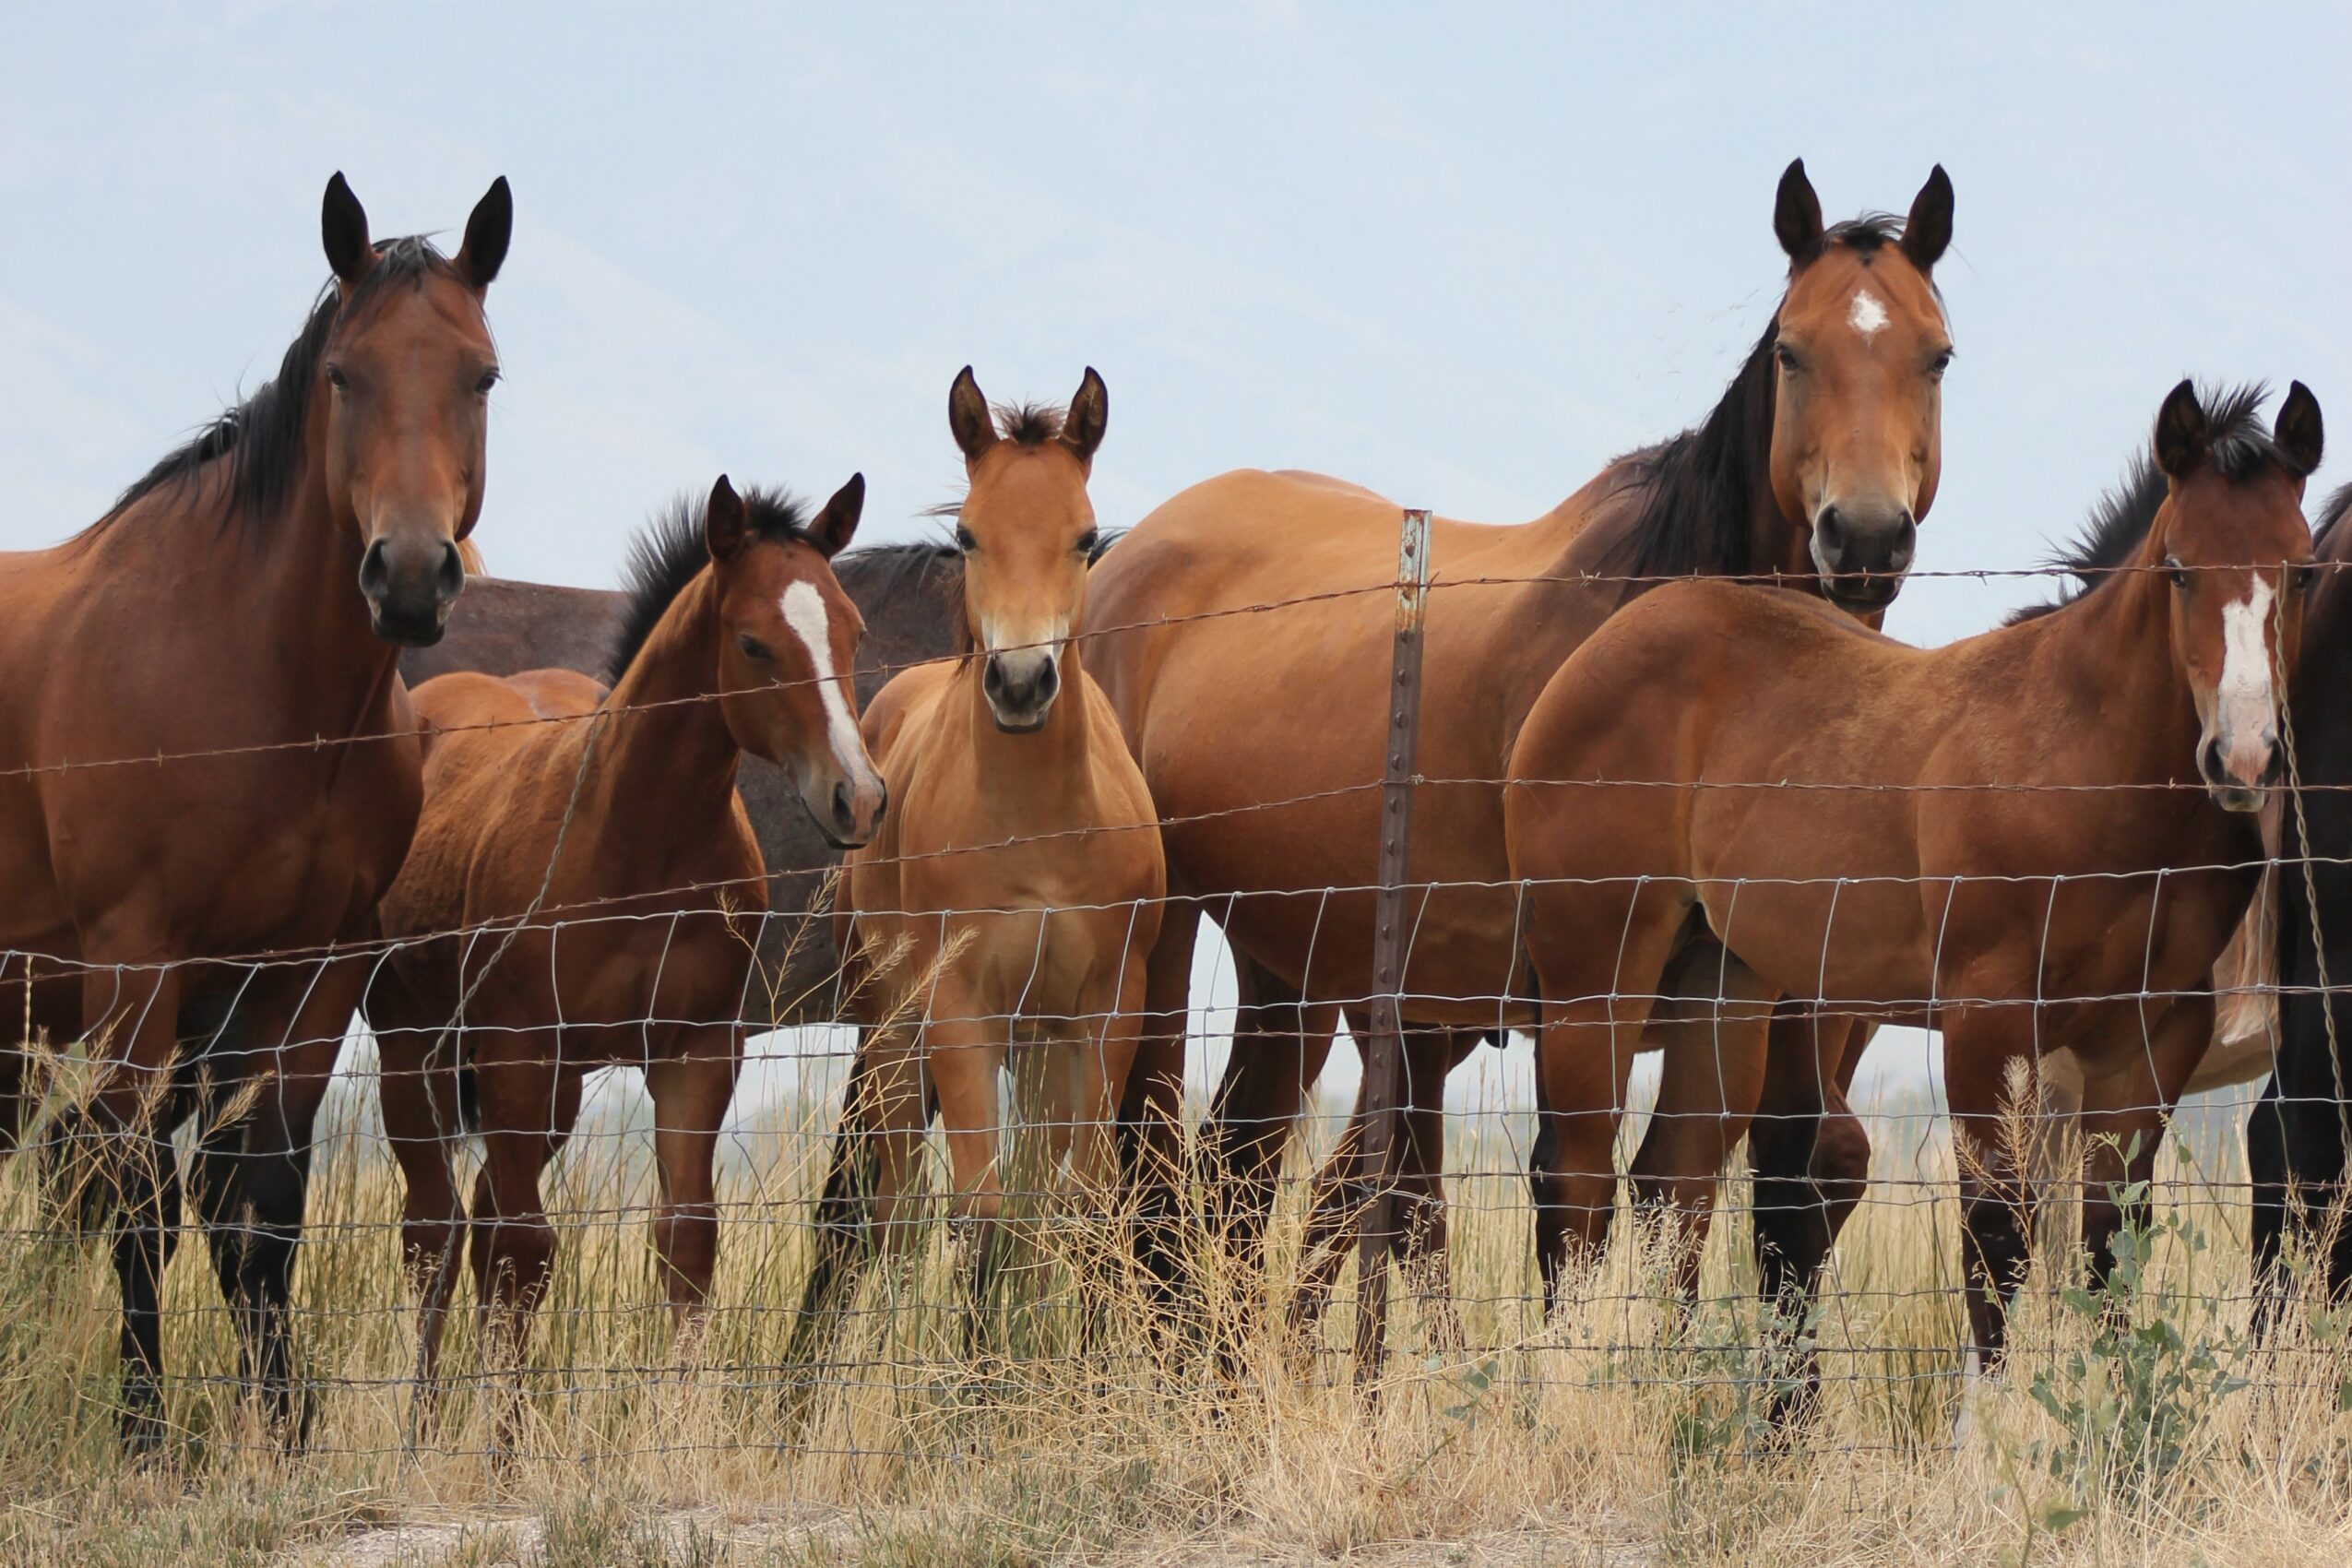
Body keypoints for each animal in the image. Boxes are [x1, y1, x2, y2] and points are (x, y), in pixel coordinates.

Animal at [0, 174, 509, 1452]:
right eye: (344, 374)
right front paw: (143, 1429)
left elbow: (259, 1203)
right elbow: (141, 1199)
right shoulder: (140, 968)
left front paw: (281, 1426)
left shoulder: (306, 974)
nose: (412, 575)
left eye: (481, 374)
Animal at [363, 474, 880, 1434]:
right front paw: (504, 1444)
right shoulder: (520, 1052)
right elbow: (525, 1253)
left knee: (478, 1216)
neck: (641, 842)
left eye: (853, 630)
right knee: (434, 1228)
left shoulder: (694, 1054)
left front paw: (676, 1433)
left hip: (554, 1087)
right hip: (415, 1051)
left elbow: (686, 1241)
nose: (858, 798)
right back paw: (421, 1424)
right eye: (753, 642)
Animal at [790, 369, 1163, 1361]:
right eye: (968, 535)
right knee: (887, 1211)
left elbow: (1079, 1210)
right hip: (890, 1028)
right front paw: (969, 1386)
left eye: (1084, 535)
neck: (1035, 830)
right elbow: (979, 1215)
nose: (1022, 683)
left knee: (1026, 1214)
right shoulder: (960, 1006)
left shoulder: (1104, 1006)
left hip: (1036, 1046)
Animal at [1084, 159, 1958, 1325]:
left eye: (1936, 353)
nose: (1861, 537)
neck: (1684, 669)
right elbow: (1574, 1201)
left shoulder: (1724, 994)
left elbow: (1678, 1199)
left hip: (1292, 964)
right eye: (1791, 349)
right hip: (1164, 936)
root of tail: (1128, 556)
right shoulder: (1588, 986)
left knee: (1232, 1175)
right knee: (1151, 1173)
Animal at [1503, 381, 2321, 1414]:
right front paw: (1996, 1430)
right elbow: (1998, 1239)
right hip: (1595, 974)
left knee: (1671, 1185)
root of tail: (1591, 659)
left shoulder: (2148, 1041)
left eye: (2302, 570)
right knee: (1576, 1183)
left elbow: (2108, 1248)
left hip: (1722, 981)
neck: (2083, 761)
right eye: (2178, 569)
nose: (2245, 759)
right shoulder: (1989, 1024)